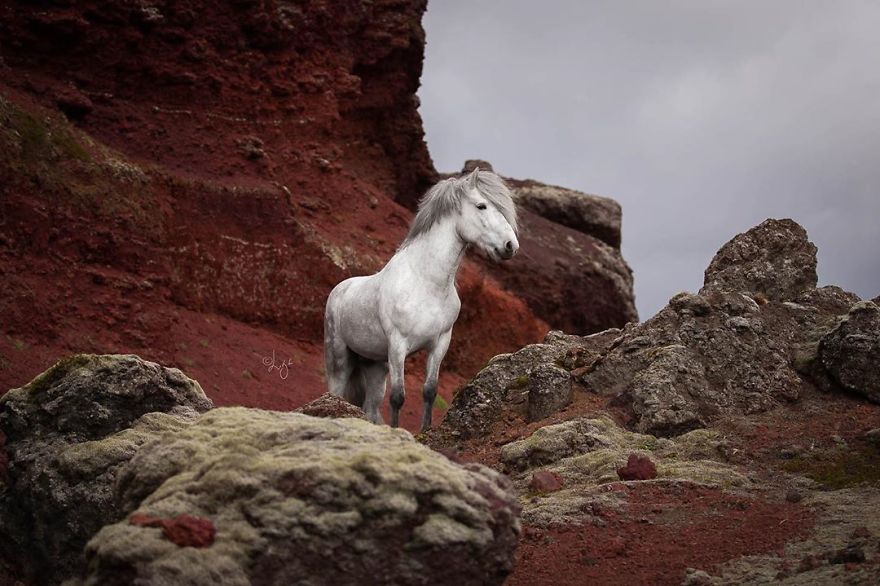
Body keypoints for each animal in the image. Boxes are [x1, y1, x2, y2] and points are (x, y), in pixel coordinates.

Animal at [324, 168, 519, 432]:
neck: (426, 284)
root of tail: (339, 290)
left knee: (370, 408)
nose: (510, 246)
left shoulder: (440, 344)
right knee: (336, 394)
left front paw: (425, 430)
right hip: (339, 358)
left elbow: (429, 391)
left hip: (374, 365)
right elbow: (398, 397)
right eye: (482, 206)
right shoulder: (398, 346)